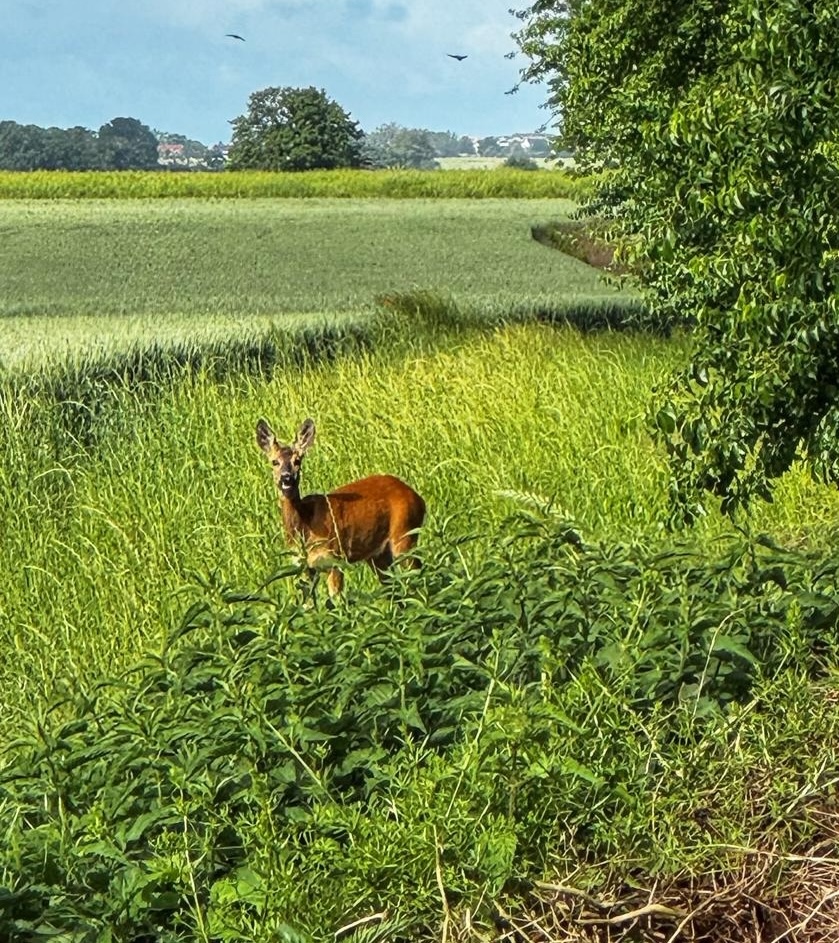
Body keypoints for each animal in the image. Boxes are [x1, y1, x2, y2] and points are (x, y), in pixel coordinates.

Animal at [255, 418, 426, 599]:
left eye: (297, 461)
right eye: (274, 462)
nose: (286, 478)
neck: (306, 525)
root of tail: (419, 498)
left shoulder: (335, 559)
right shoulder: (303, 568)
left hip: (404, 534)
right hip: (378, 554)